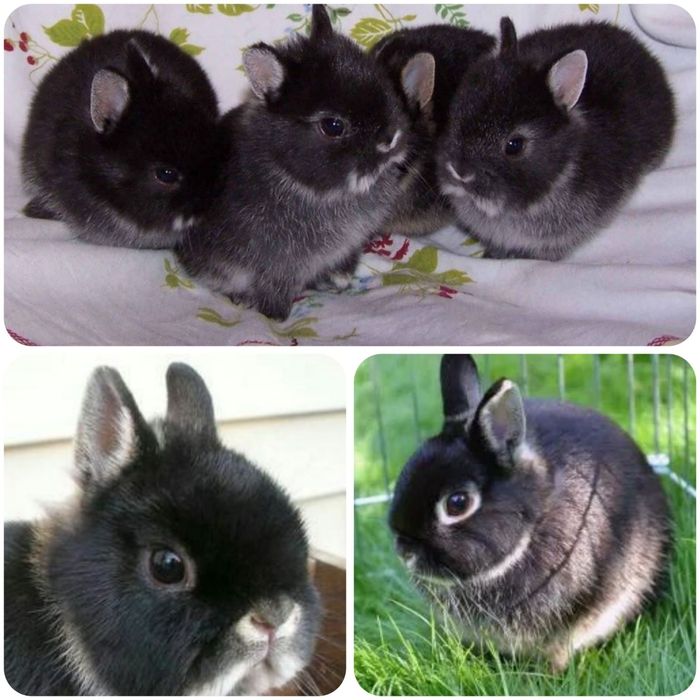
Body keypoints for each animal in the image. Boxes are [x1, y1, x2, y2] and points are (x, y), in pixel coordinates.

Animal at [175, 5, 434, 321]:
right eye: (333, 126)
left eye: (385, 85)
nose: (392, 139)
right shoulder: (278, 264)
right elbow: (274, 289)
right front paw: (276, 317)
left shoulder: (349, 245)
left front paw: (341, 280)